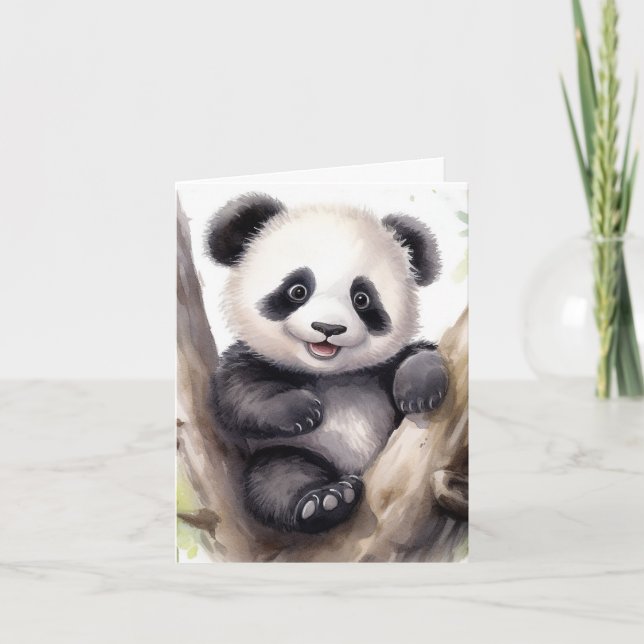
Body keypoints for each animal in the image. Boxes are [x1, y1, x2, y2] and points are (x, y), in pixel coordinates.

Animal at [205, 192, 448, 534]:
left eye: (362, 298)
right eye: (297, 290)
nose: (328, 328)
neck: (329, 375)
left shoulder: (375, 371)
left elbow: (416, 354)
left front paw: (419, 389)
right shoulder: (251, 360)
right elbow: (239, 393)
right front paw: (302, 409)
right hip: (297, 452)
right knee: (278, 475)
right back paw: (326, 501)